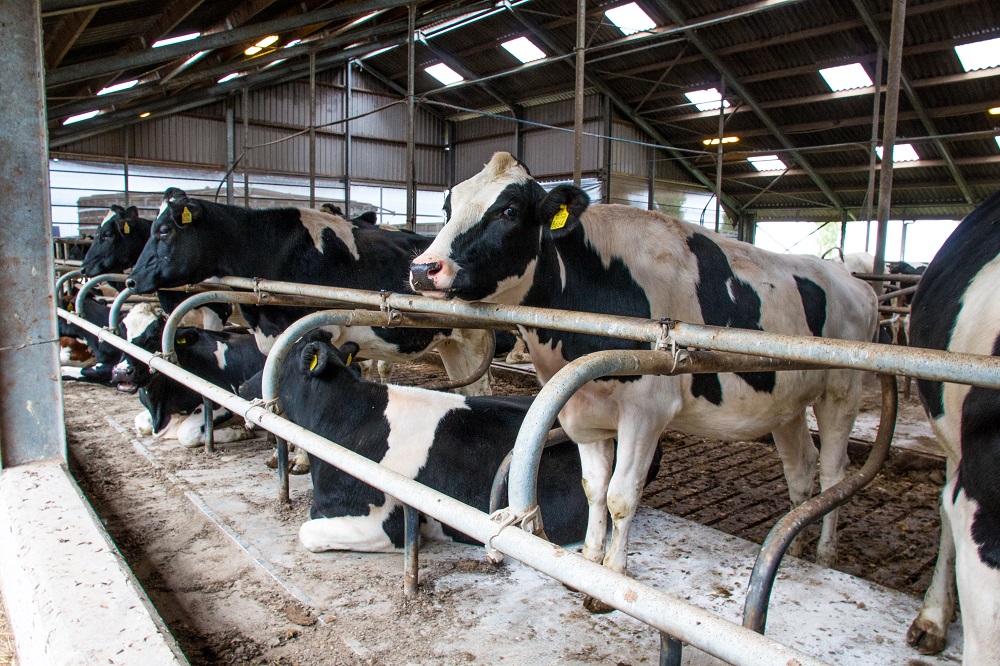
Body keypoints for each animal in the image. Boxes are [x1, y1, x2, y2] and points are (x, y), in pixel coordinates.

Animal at [115, 304, 266, 448]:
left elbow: (186, 433)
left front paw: (240, 431)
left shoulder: (223, 400)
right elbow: (140, 422)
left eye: (153, 337)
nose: (122, 372)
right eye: (121, 335)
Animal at [406, 150, 876, 608]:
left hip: (842, 390)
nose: (423, 269)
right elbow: (594, 489)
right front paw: (588, 565)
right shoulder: (582, 410)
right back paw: (796, 550)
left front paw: (612, 580)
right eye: (448, 206)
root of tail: (854, 281)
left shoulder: (646, 412)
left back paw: (825, 553)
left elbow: (621, 495)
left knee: (833, 471)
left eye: (509, 210)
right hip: (787, 404)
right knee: (801, 467)